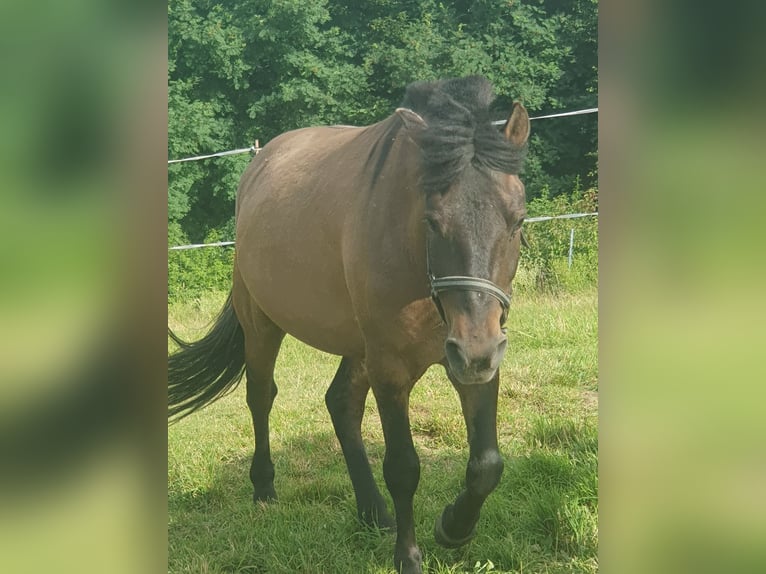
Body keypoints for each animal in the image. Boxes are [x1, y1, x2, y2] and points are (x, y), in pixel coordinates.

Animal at [170, 76, 528, 574]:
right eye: (432, 221)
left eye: (517, 219)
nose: (476, 346)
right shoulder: (392, 369)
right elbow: (403, 467)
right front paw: (409, 556)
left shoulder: (475, 363)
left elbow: (487, 463)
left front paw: (454, 527)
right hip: (263, 325)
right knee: (261, 397)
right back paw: (264, 487)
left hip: (362, 347)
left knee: (339, 403)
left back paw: (372, 510)